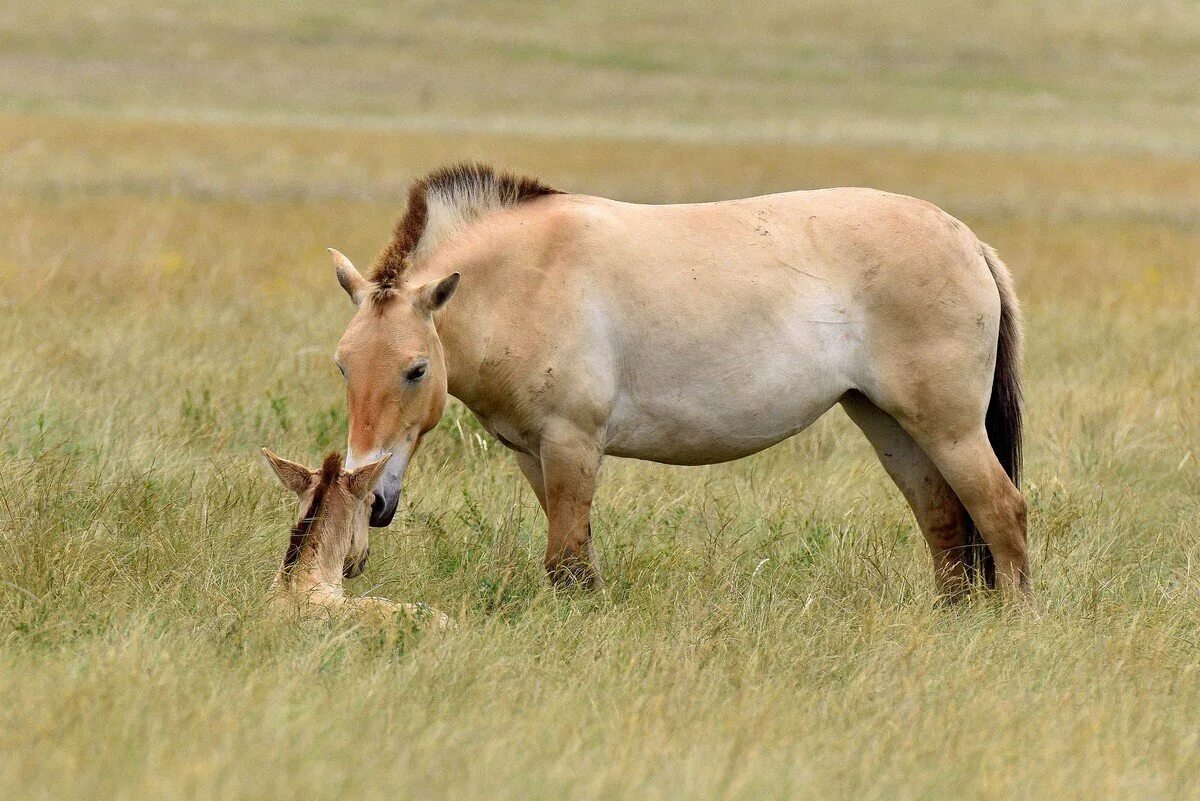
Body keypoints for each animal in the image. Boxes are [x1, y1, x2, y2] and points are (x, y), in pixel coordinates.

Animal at [331, 164, 1032, 599]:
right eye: (344, 365)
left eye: (416, 369)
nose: (372, 501)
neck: (526, 282)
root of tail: (969, 242)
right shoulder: (535, 454)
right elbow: (575, 554)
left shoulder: (572, 444)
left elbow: (566, 563)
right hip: (890, 424)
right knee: (944, 521)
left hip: (950, 429)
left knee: (1001, 511)